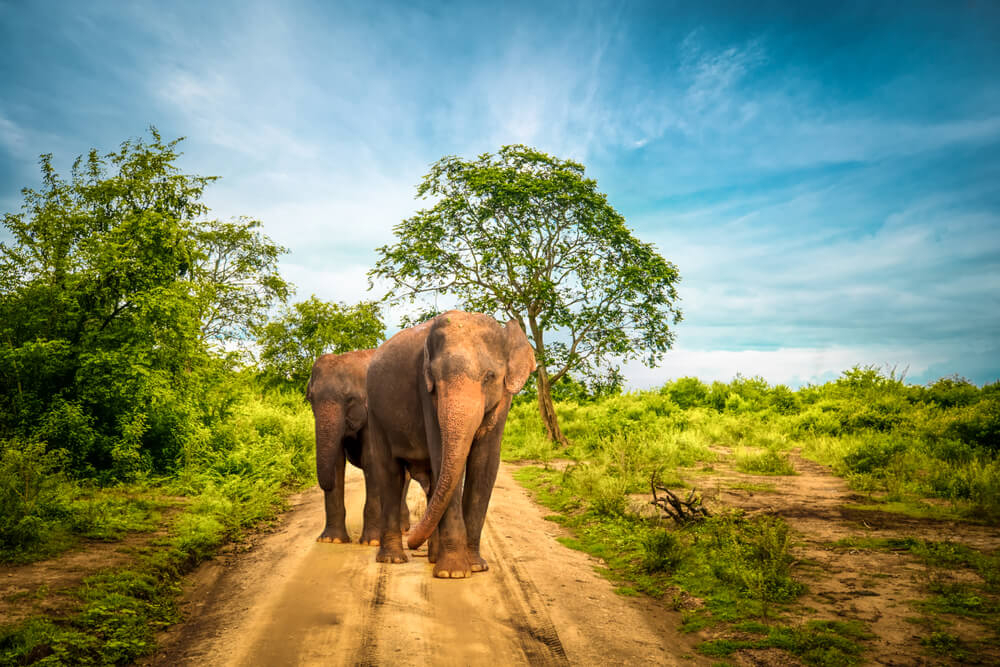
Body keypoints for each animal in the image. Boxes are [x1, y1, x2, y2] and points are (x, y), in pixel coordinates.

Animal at [308, 350, 410, 548]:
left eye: (350, 399)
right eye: (310, 399)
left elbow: (371, 460)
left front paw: (372, 542)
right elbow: (337, 462)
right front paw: (331, 540)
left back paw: (402, 529)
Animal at [366, 310, 536, 576]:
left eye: (489, 377)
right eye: (434, 378)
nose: (413, 542)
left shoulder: (504, 399)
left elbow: (485, 463)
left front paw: (475, 566)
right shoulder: (425, 392)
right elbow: (441, 456)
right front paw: (453, 573)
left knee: (432, 481)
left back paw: (433, 558)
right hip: (375, 414)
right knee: (389, 473)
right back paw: (394, 559)